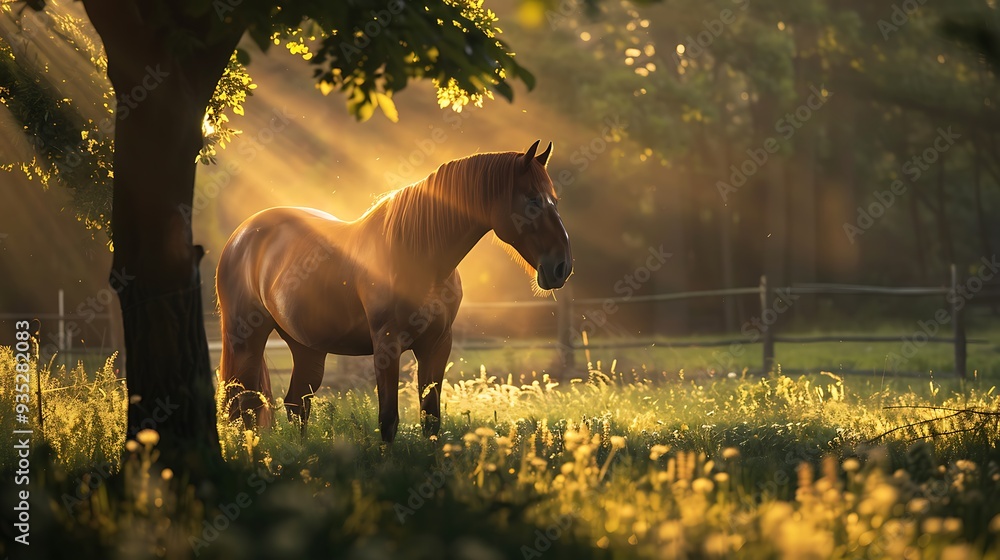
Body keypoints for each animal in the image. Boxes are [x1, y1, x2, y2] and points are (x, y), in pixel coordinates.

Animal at [215, 140, 576, 442]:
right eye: (532, 200)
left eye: (556, 201)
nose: (562, 267)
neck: (417, 254)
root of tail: (242, 235)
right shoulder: (386, 346)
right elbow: (388, 420)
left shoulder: (437, 345)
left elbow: (431, 418)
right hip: (246, 341)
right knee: (241, 408)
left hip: (306, 347)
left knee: (295, 404)